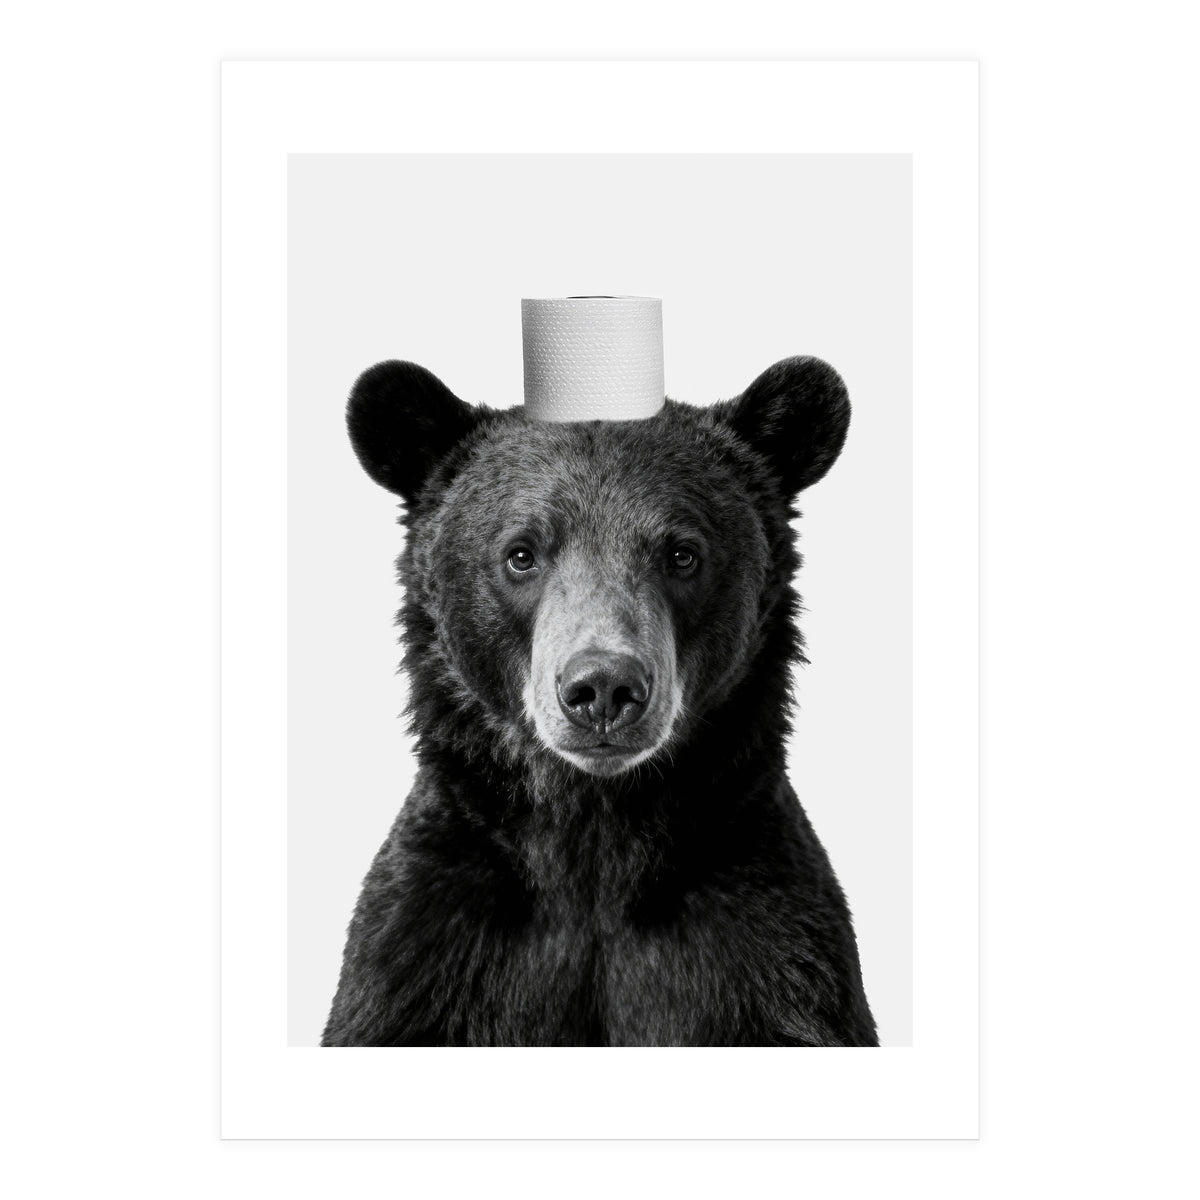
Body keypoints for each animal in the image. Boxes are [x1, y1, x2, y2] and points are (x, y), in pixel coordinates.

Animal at [322, 355, 878, 1047]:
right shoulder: (429, 949)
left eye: (682, 553)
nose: (604, 688)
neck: (595, 833)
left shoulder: (768, 949)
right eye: (521, 554)